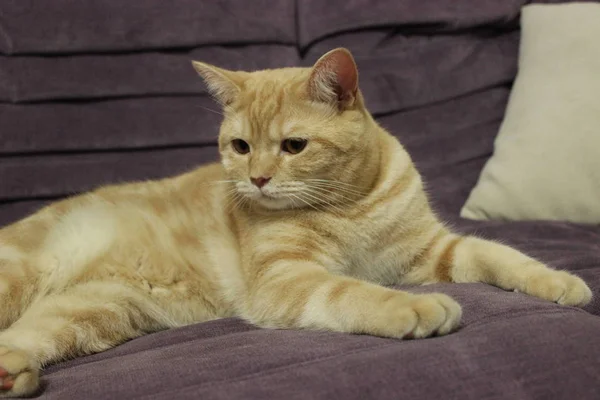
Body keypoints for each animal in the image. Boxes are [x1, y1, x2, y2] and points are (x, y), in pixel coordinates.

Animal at [0, 48, 592, 396]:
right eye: (240, 147)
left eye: (293, 146)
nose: (258, 179)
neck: (350, 207)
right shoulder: (288, 278)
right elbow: (354, 292)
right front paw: (414, 308)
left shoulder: (432, 252)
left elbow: (501, 254)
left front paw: (558, 282)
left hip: (92, 311)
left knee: (26, 337)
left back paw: (15, 374)